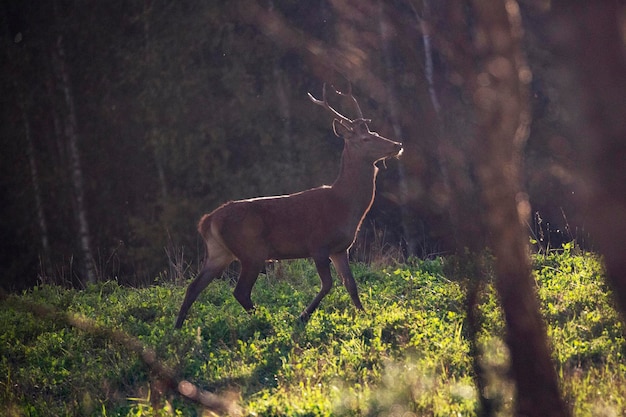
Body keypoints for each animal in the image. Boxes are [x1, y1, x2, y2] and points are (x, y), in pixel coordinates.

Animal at [173, 83, 402, 326]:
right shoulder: (317, 244)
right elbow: (328, 284)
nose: (397, 144)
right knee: (240, 291)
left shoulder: (340, 249)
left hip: (219, 252)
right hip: (252, 251)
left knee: (194, 287)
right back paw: (266, 321)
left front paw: (365, 315)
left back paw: (178, 328)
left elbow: (351, 284)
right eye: (366, 139)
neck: (345, 205)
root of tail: (207, 221)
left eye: (375, 133)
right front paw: (303, 316)